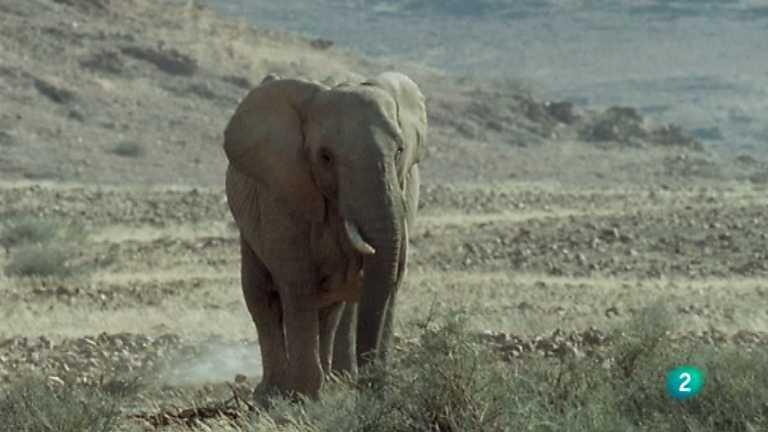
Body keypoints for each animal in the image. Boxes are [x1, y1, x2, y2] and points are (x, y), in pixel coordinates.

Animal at [222, 71, 426, 402]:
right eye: (325, 157)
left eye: (399, 150)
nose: (369, 385)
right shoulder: (282, 193)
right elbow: (297, 282)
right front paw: (305, 399)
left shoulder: (404, 190)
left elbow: (381, 281)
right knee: (261, 295)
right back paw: (272, 394)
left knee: (334, 306)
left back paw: (334, 380)